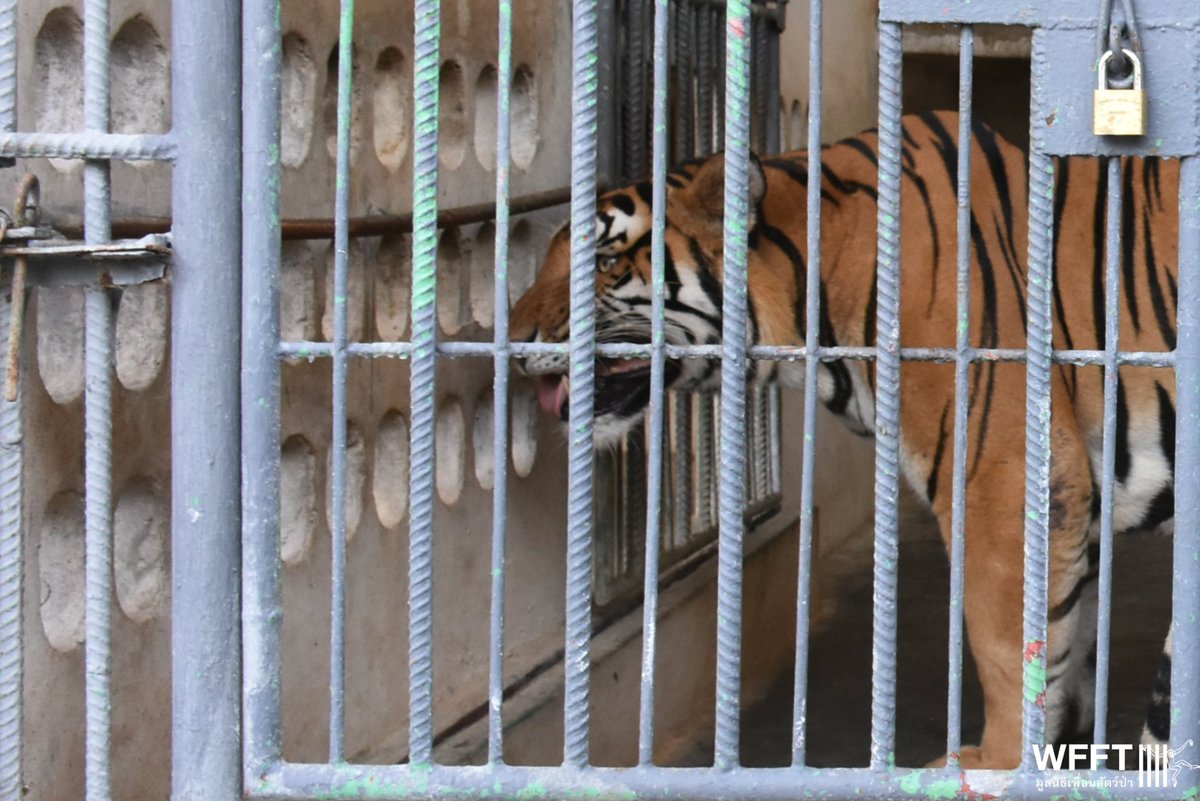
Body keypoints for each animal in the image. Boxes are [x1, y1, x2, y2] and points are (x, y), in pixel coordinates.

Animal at [509, 110, 1180, 770]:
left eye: (606, 263)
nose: (512, 342)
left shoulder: (1005, 471)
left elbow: (1008, 638)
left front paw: (995, 764)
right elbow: (1072, 638)